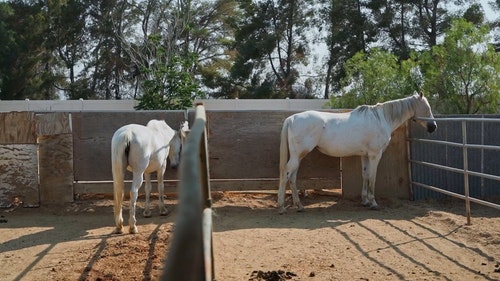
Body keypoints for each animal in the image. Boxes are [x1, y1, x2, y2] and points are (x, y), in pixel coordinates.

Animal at [278, 92, 438, 212]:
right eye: (427, 108)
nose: (433, 127)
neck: (381, 119)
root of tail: (291, 118)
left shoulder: (365, 156)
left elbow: (365, 175)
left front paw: (365, 201)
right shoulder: (375, 155)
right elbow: (372, 177)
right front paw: (373, 203)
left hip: (298, 157)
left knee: (292, 177)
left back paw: (299, 206)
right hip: (297, 156)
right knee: (286, 174)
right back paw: (281, 207)